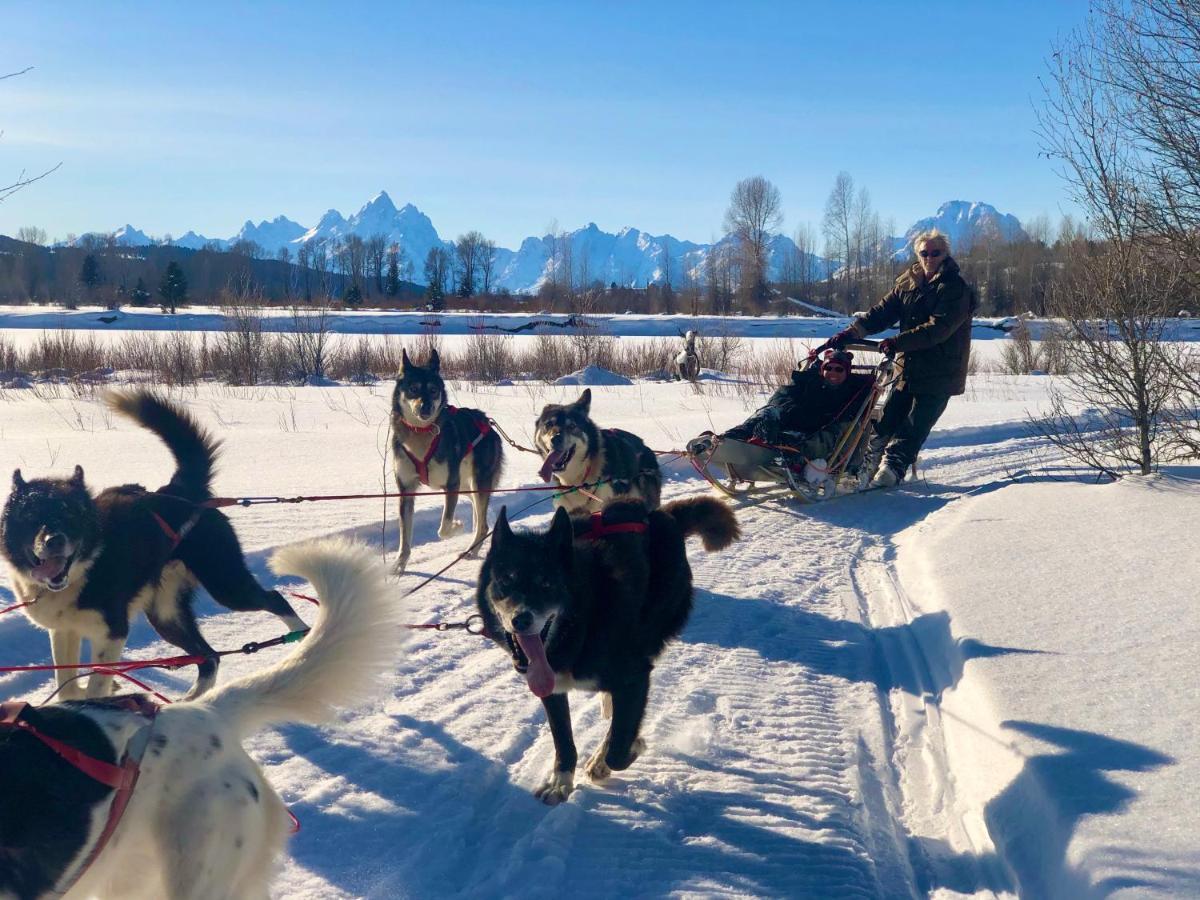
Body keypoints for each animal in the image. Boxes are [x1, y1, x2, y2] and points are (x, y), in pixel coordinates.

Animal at [2, 391, 309, 700]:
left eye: (71, 515)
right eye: (31, 517)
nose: (54, 541)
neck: (84, 570)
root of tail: (179, 493)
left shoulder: (112, 632)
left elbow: (95, 684)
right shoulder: (64, 631)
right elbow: (67, 683)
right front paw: (99, 689)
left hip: (226, 585)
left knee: (275, 599)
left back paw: (303, 639)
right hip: (166, 613)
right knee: (209, 656)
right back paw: (187, 702)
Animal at [391, 348, 504, 573]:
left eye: (434, 390)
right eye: (413, 389)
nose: (425, 407)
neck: (421, 434)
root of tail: (488, 424)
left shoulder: (451, 485)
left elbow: (443, 528)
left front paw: (457, 526)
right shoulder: (406, 491)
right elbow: (404, 537)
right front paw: (399, 564)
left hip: (476, 483)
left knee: (483, 524)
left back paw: (471, 549)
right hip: (467, 486)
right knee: (480, 518)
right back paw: (474, 548)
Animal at [472, 496, 734, 806]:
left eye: (546, 583)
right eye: (506, 581)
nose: (521, 619)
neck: (580, 624)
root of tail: (659, 514)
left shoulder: (635, 678)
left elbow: (619, 748)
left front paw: (623, 750)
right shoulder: (551, 688)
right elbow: (564, 741)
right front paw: (561, 782)